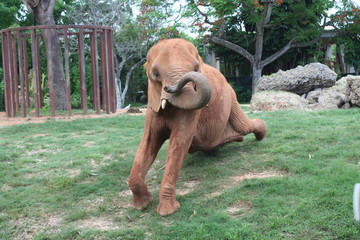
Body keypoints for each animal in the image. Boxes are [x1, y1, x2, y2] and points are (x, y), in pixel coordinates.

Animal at [128, 38, 266, 216]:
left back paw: (259, 133)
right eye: (156, 74)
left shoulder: (193, 111)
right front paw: (142, 205)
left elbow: (179, 141)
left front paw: (167, 212)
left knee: (244, 125)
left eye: (195, 69)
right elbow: (149, 142)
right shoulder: (153, 105)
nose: (167, 88)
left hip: (232, 97)